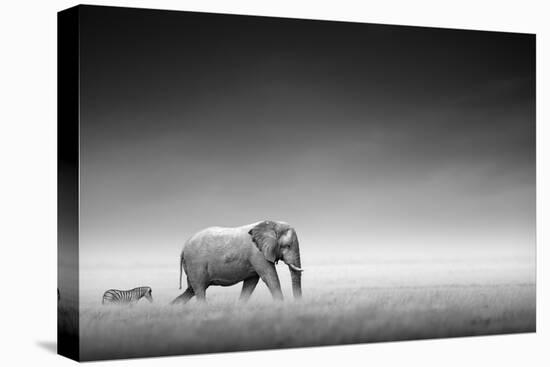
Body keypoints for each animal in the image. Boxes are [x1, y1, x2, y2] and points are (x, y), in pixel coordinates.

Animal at [171, 220, 304, 304]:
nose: (297, 305)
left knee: (191, 290)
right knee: (199, 289)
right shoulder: (257, 253)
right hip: (196, 263)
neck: (273, 224)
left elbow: (251, 282)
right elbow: (270, 277)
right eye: (287, 246)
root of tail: (183, 248)